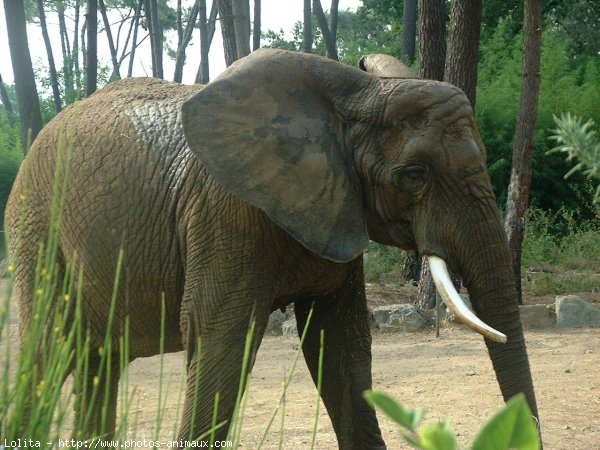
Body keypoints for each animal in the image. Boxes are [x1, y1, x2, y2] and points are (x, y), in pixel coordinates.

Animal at [4, 47, 540, 448]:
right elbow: (220, 337)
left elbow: (340, 348)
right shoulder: (226, 212)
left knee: (97, 360)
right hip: (35, 227)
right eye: (414, 175)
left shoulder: (338, 206)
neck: (353, 94)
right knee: (47, 348)